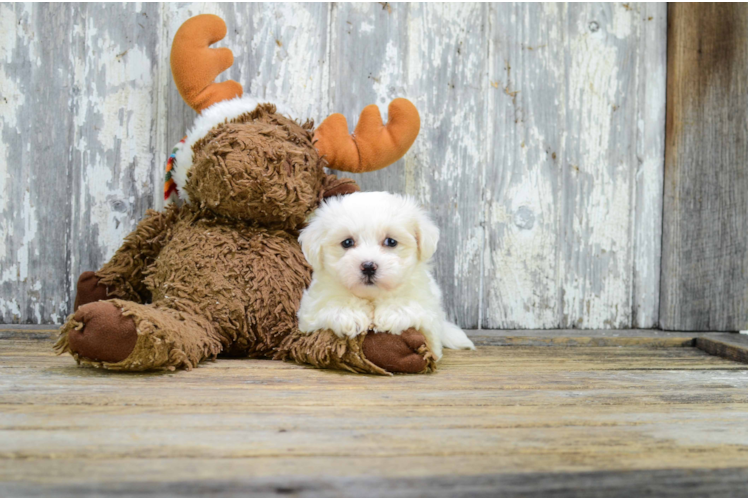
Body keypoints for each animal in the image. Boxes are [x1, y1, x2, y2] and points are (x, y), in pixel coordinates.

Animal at [296, 191, 474, 360]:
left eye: (391, 241)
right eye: (347, 242)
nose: (368, 266)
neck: (372, 296)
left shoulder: (428, 310)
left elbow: (411, 307)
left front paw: (393, 312)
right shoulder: (310, 311)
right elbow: (331, 305)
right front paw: (349, 313)